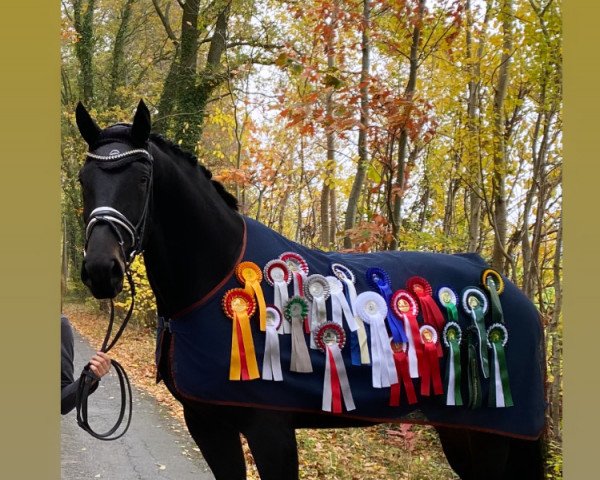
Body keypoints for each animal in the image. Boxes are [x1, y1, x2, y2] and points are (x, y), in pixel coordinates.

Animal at [74, 101, 544, 480]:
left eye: (141, 179)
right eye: (83, 179)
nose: (100, 270)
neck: (216, 278)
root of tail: (505, 287)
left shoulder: (271, 432)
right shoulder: (207, 425)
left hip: (489, 436)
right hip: (461, 432)